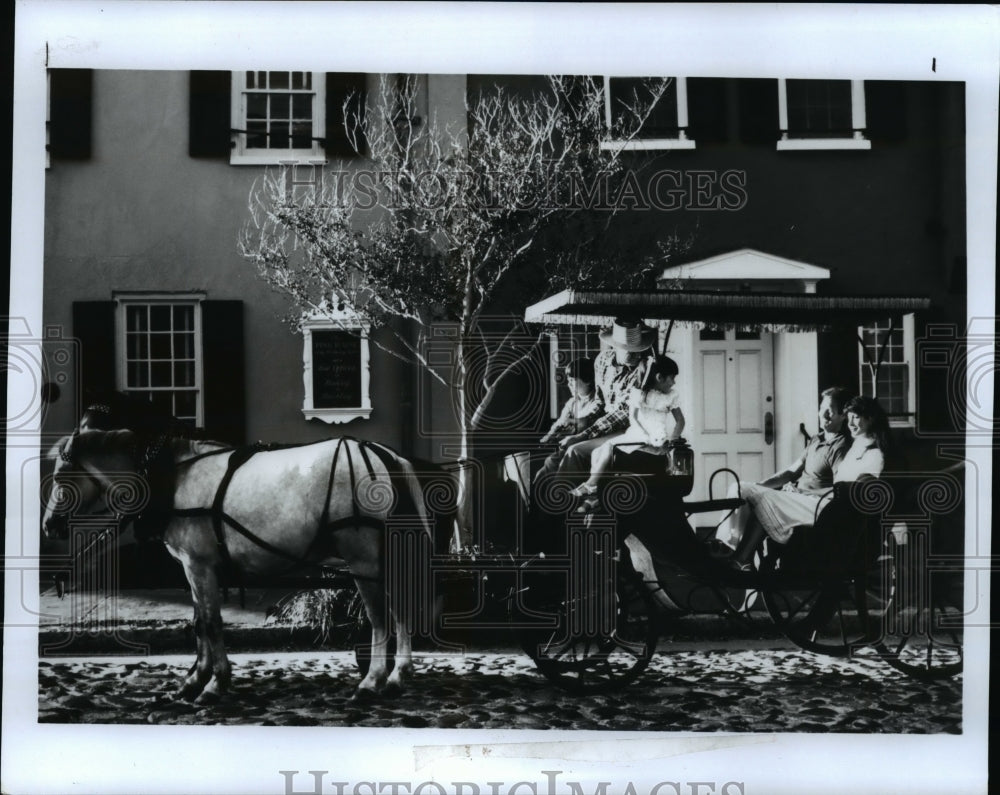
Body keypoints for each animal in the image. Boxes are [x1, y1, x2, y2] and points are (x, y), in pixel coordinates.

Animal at [44, 432, 434, 700]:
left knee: (380, 616)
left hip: (362, 557)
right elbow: (199, 622)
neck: (171, 477)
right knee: (400, 609)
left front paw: (215, 683)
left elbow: (212, 623)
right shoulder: (194, 568)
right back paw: (398, 675)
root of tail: (382, 454)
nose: (50, 525)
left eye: (61, 477)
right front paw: (195, 678)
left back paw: (373, 680)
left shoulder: (199, 565)